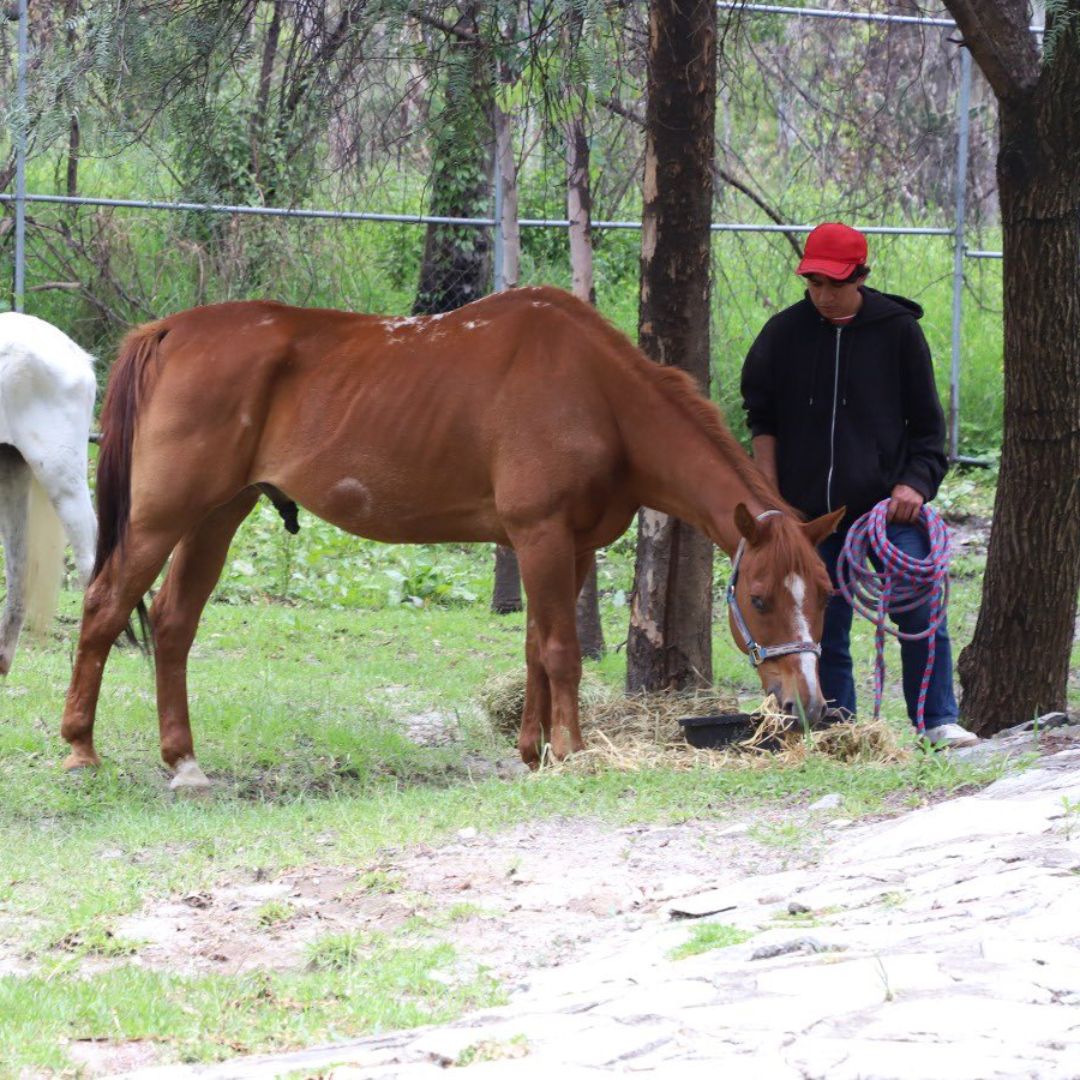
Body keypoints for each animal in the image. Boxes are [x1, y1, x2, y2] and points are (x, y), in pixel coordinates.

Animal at [61, 286, 842, 790]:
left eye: (826, 595)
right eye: (761, 598)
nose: (806, 706)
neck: (596, 393)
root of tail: (169, 331)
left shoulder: (570, 548)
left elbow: (534, 648)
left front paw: (533, 751)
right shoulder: (541, 537)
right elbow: (561, 653)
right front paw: (571, 751)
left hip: (217, 516)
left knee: (172, 623)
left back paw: (184, 762)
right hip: (163, 517)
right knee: (103, 607)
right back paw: (80, 752)